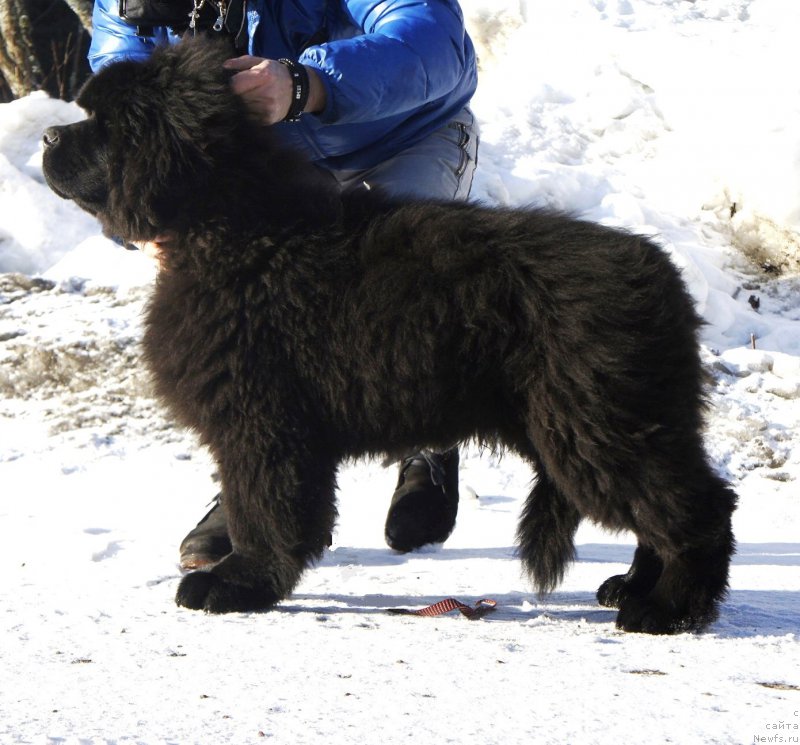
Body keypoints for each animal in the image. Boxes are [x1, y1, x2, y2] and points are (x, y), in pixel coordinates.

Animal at [40, 39, 736, 632]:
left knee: (697, 507)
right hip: (612, 422)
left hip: (600, 422)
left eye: (106, 125)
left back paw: (668, 609)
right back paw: (634, 587)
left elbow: (263, 511)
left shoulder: (263, 422)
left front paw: (237, 585)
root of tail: (663, 278)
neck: (238, 229)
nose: (47, 134)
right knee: (665, 508)